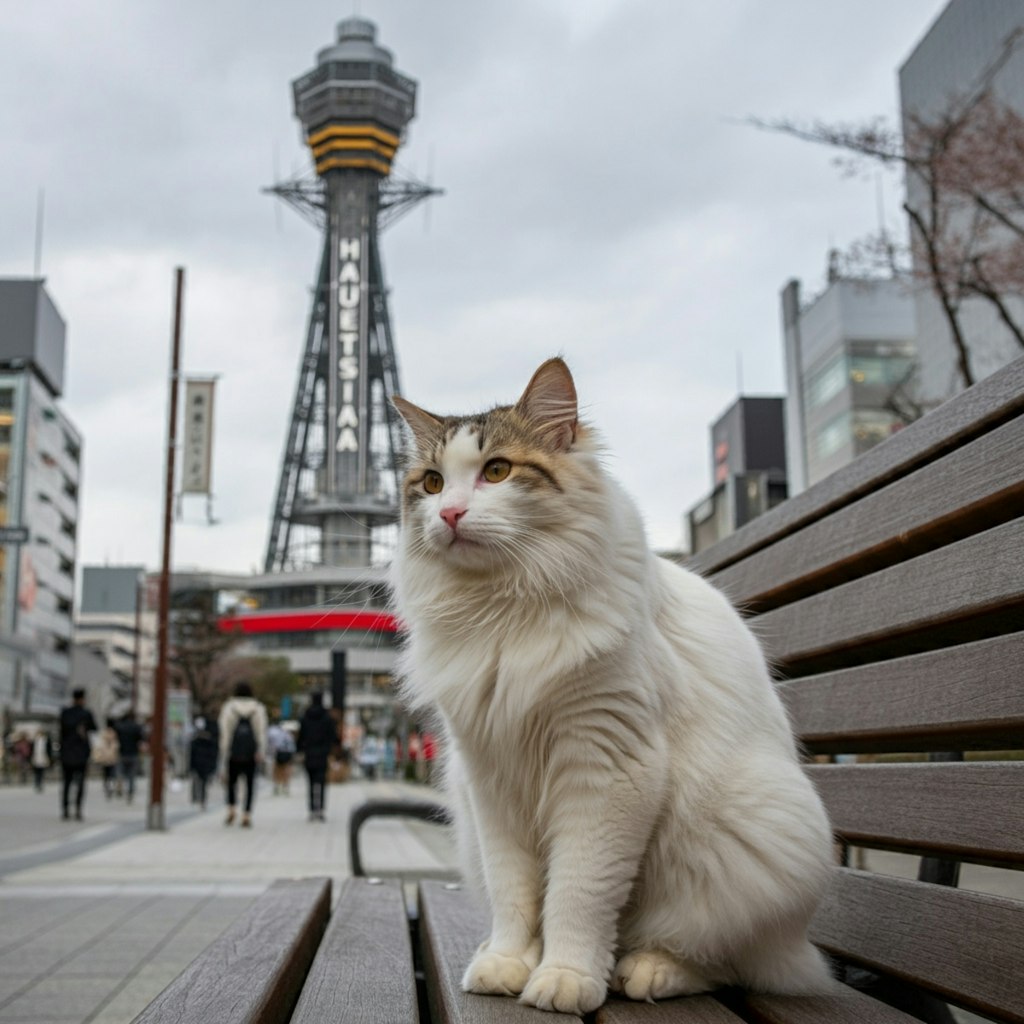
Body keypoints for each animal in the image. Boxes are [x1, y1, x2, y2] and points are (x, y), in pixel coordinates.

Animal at [389, 360, 831, 1015]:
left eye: (497, 471)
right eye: (434, 483)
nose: (450, 515)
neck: (503, 605)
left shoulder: (605, 764)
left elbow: (579, 892)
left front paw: (566, 977)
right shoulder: (491, 779)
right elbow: (516, 895)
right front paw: (508, 963)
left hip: (748, 837)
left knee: (724, 961)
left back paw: (647, 971)